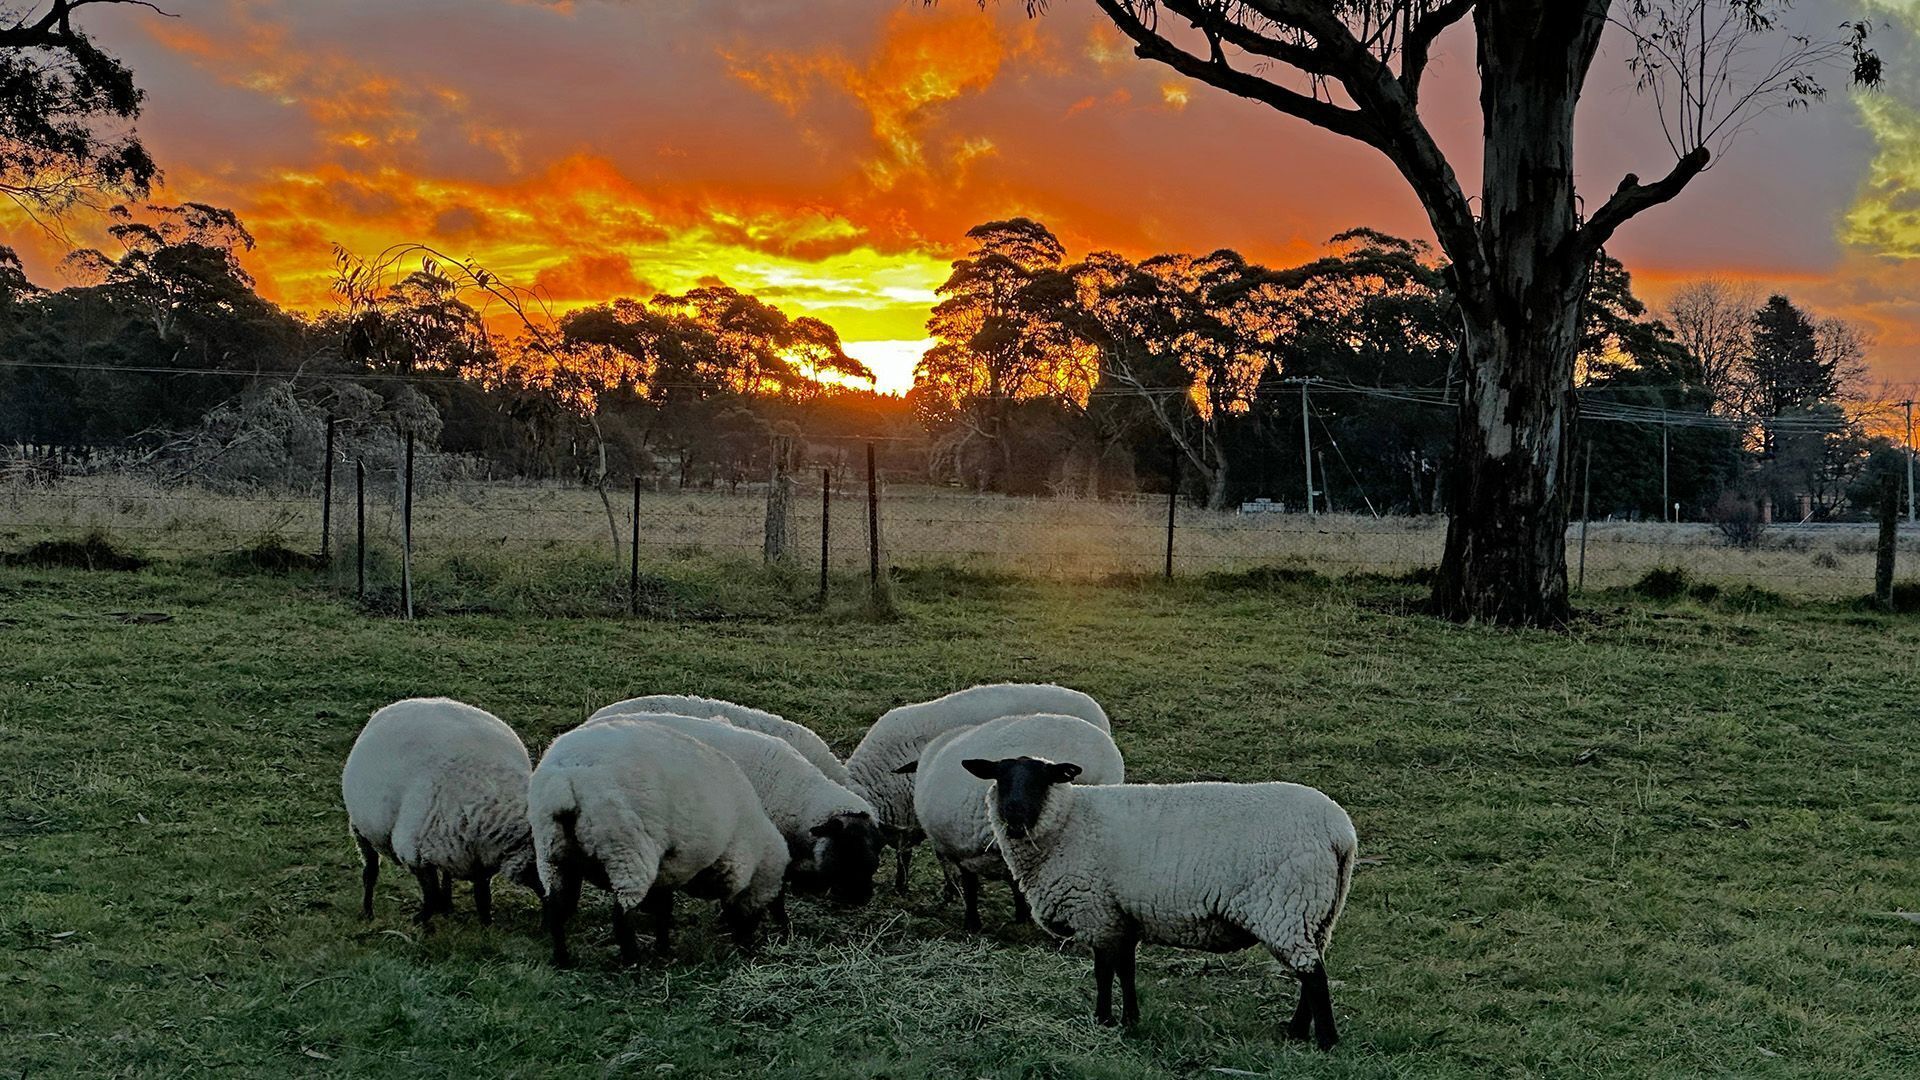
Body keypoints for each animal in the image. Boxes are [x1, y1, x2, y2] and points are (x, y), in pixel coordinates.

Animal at [340, 697, 539, 926]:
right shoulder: (415, 854)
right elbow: (431, 894)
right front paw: (421, 921)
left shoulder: (479, 861)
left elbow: (481, 895)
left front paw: (486, 922)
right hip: (361, 829)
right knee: (370, 871)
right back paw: (368, 911)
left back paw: (447, 905)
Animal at [528, 717, 788, 966]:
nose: (749, 947)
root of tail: (565, 782)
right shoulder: (704, 863)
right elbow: (681, 907)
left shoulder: (667, 868)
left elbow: (663, 906)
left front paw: (663, 948)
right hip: (625, 850)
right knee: (622, 916)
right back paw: (633, 965)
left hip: (553, 853)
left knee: (556, 908)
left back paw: (562, 960)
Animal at [896, 713, 1124, 932]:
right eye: (1000, 778)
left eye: (1042, 781)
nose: (1015, 819)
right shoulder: (963, 851)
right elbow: (971, 887)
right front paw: (973, 924)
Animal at [963, 757, 1357, 1049]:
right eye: (1000, 777)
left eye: (1042, 779)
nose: (1014, 818)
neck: (1067, 823)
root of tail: (1339, 832)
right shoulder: (1122, 915)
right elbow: (1126, 970)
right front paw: (1130, 1020)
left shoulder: (1096, 912)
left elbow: (1103, 972)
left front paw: (1103, 1020)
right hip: (1317, 913)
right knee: (1311, 970)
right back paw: (1296, 1031)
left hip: (1287, 906)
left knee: (1313, 974)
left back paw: (1325, 1041)